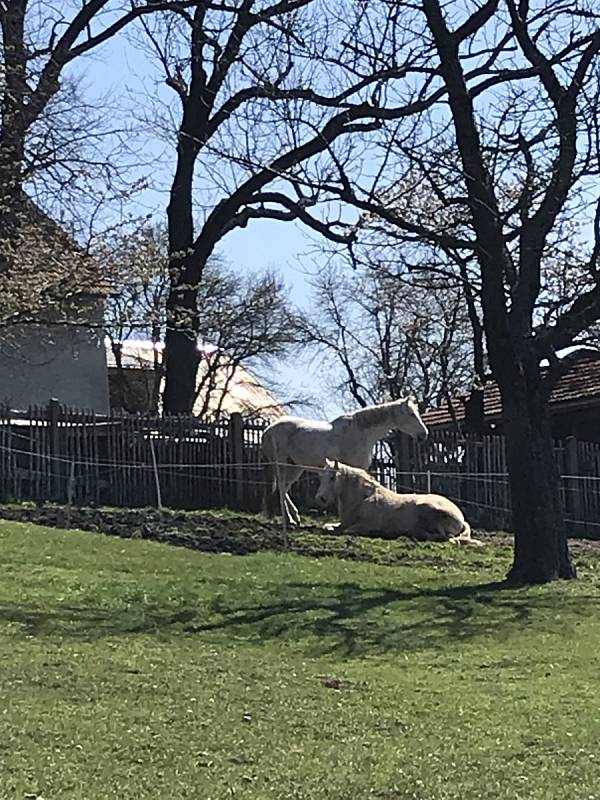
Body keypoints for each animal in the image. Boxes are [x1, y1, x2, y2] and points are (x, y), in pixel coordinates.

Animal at [262, 398, 426, 524]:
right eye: (411, 414)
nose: (423, 435)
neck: (360, 433)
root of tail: (267, 431)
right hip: (282, 466)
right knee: (282, 488)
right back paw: (290, 520)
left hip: (295, 467)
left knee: (284, 489)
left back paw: (295, 518)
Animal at [314, 460, 478, 548]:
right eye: (321, 477)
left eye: (333, 478)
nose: (320, 498)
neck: (363, 499)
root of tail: (461, 518)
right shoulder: (342, 523)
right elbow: (328, 526)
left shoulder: (366, 525)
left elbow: (348, 531)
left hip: (429, 510)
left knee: (445, 538)